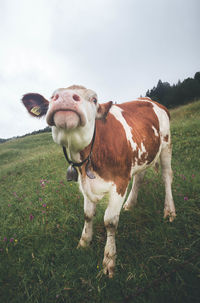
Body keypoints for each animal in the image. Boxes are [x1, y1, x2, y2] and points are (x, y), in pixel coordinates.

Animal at [21, 85, 176, 278]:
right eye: (51, 97)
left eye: (94, 99)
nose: (65, 96)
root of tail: (150, 100)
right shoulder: (84, 183)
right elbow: (88, 215)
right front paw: (83, 243)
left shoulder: (120, 182)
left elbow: (110, 221)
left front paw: (109, 260)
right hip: (143, 154)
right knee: (139, 177)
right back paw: (130, 203)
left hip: (166, 144)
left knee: (166, 176)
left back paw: (169, 211)